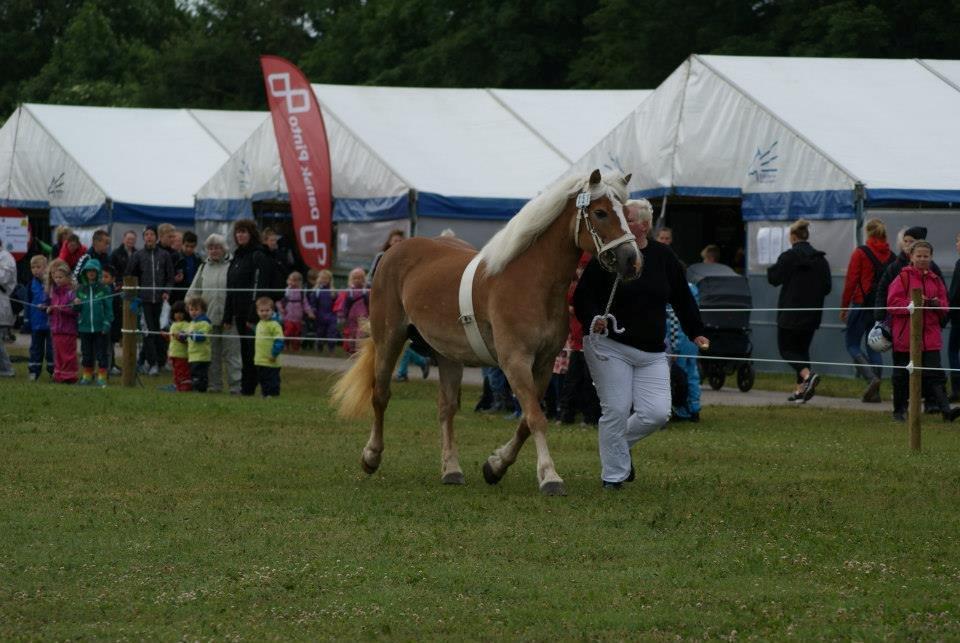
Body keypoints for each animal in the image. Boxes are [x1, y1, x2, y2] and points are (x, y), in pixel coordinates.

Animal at [334, 169, 640, 496]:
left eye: (626, 212)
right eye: (600, 212)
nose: (631, 259)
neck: (532, 281)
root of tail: (394, 251)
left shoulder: (544, 365)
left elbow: (526, 421)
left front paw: (495, 465)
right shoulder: (515, 361)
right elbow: (536, 418)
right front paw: (549, 476)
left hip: (448, 355)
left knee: (446, 408)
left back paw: (451, 469)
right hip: (389, 339)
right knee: (380, 395)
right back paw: (371, 456)